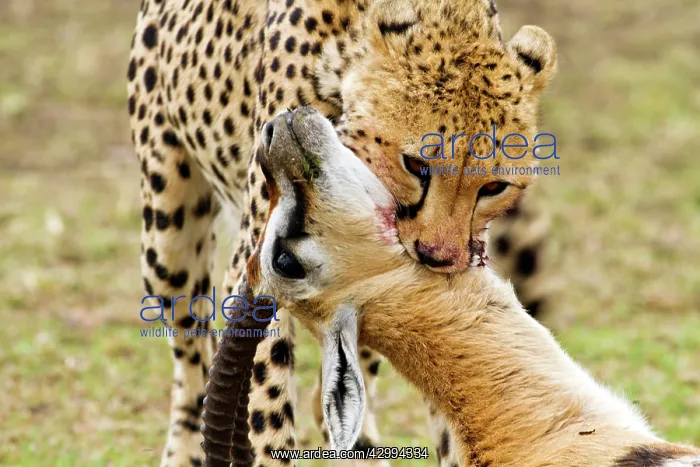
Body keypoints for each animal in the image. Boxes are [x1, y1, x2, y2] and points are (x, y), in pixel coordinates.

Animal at [127, 0, 557, 465]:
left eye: (494, 187)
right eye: (416, 165)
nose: (438, 255)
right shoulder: (261, 269)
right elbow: (267, 403)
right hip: (169, 243)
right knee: (192, 359)